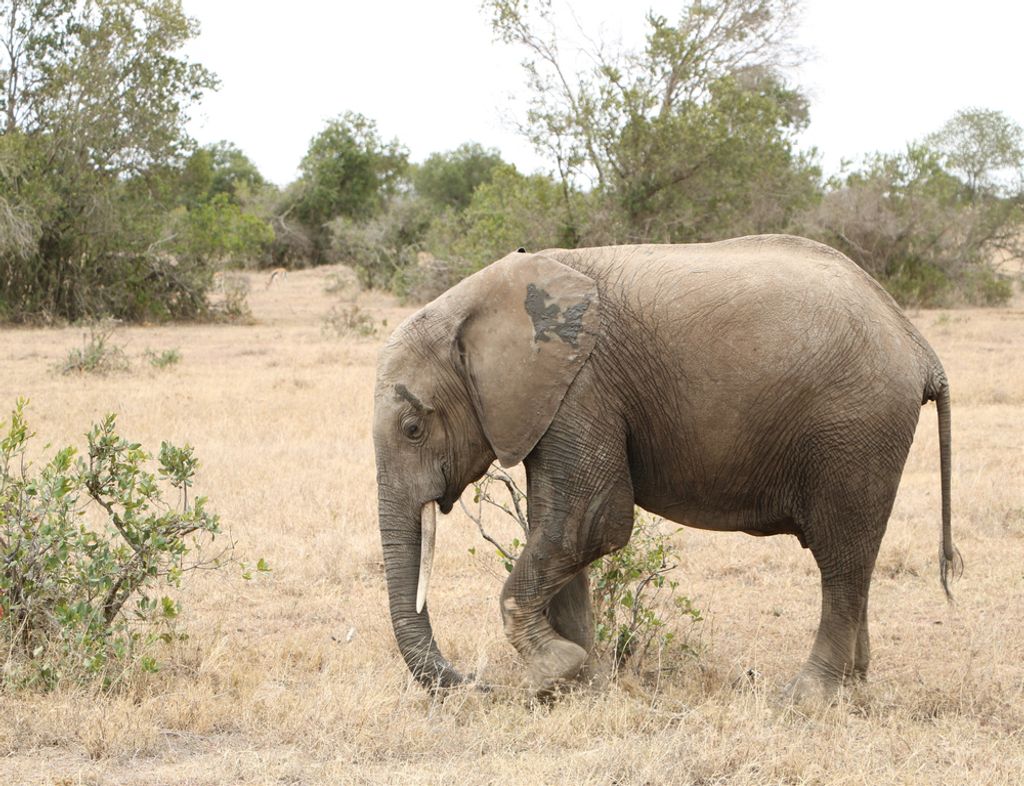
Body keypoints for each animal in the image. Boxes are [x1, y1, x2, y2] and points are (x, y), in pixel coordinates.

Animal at [372, 235, 957, 700]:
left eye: (413, 428)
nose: (479, 687)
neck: (481, 301)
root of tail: (919, 347)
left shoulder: (583, 387)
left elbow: (588, 524)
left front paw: (554, 673)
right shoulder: (556, 401)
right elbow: (561, 531)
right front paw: (579, 686)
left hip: (856, 427)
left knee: (840, 558)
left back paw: (805, 698)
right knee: (853, 559)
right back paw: (853, 687)